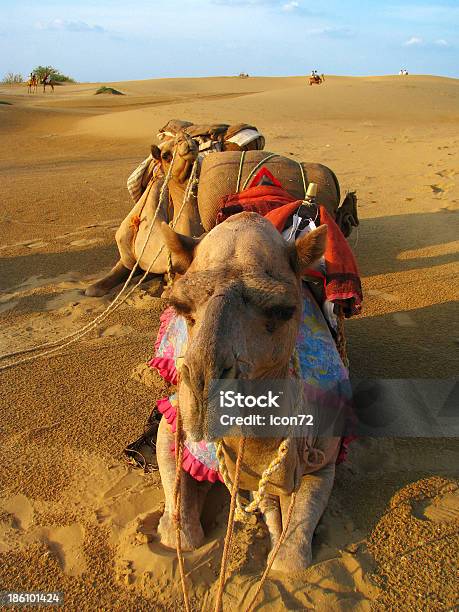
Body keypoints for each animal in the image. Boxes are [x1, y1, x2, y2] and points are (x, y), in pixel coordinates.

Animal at [155, 213, 344, 576]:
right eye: (179, 305)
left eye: (283, 310)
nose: (203, 389)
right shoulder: (175, 420)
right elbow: (182, 535)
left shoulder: (324, 450)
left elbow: (289, 559)